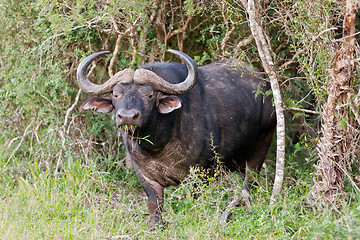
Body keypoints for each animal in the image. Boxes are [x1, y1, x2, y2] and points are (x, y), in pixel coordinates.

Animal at [77, 49, 276, 226]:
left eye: (150, 95)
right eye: (116, 94)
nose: (127, 116)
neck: (158, 145)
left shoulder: (199, 174)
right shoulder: (146, 177)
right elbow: (155, 205)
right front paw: (155, 226)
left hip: (263, 142)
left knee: (250, 182)